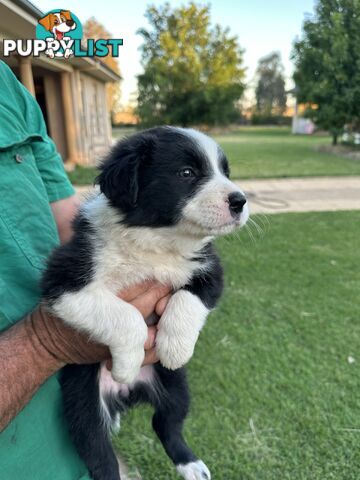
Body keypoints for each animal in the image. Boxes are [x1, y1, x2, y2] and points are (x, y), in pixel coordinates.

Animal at [40, 125, 249, 478]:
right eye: (187, 173)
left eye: (226, 173)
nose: (240, 201)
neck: (156, 242)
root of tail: (127, 395)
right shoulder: (64, 281)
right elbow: (127, 317)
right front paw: (127, 363)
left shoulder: (210, 269)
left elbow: (188, 299)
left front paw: (176, 348)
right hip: (82, 403)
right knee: (99, 453)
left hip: (175, 386)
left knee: (167, 423)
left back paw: (192, 465)